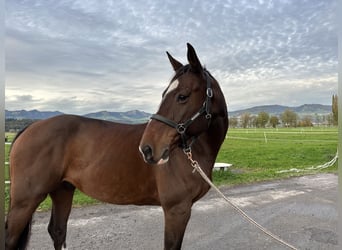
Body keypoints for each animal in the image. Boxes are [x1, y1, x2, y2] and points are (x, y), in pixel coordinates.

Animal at [5, 44, 228, 249]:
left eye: (183, 95)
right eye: (165, 94)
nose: (147, 149)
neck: (193, 152)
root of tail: (31, 127)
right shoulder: (177, 210)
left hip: (62, 190)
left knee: (58, 231)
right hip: (25, 201)